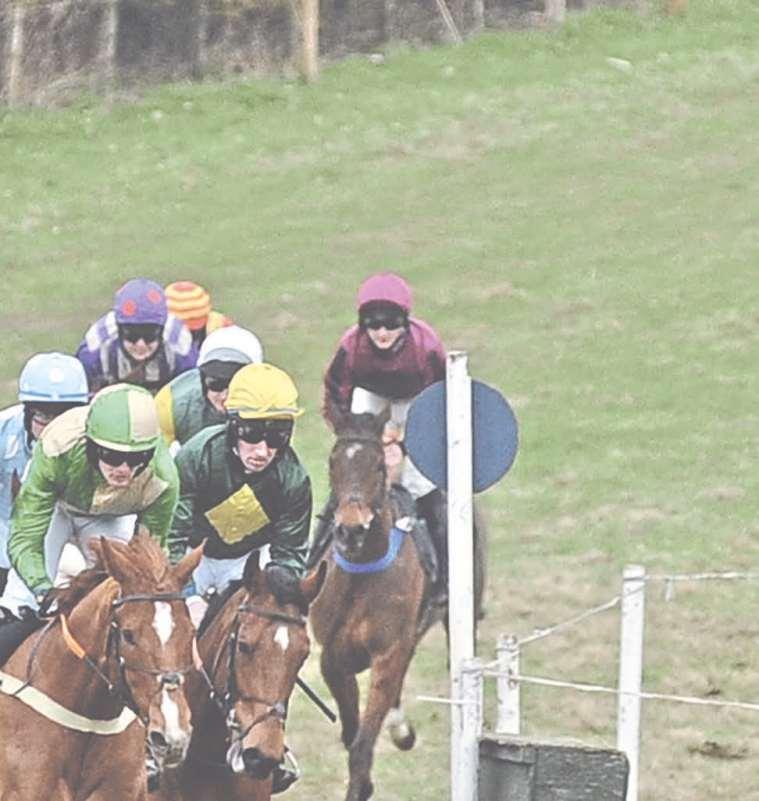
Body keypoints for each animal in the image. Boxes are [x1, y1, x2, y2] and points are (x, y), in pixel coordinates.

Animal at [309, 409, 485, 801]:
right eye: (332, 463)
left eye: (377, 465)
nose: (350, 531)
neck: (363, 570)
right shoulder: (333, 657)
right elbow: (352, 733)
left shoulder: (387, 653)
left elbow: (361, 746)